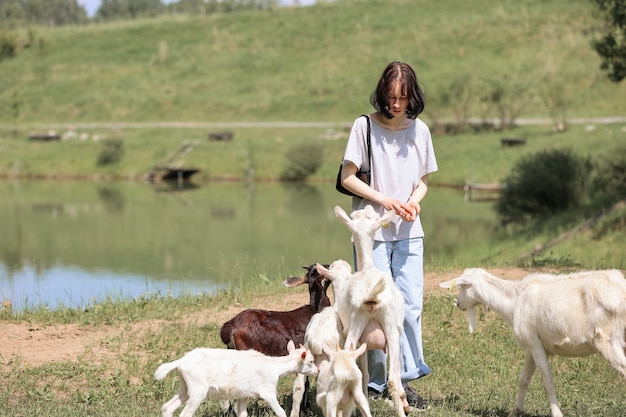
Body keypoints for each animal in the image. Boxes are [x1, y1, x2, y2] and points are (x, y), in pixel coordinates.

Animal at [152, 338, 316, 416]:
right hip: (198, 389)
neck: (273, 366)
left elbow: (242, 414)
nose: (317, 371)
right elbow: (281, 412)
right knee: (185, 414)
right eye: (310, 361)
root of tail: (180, 362)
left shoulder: (243, 395)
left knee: (167, 408)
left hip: (185, 386)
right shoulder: (267, 391)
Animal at [436, 266, 624, 416]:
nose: (458, 304)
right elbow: (523, 379)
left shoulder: (534, 343)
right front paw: (515, 411)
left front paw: (556, 414)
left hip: (607, 340)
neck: (514, 300)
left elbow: (547, 382)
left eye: (462, 286)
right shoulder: (533, 345)